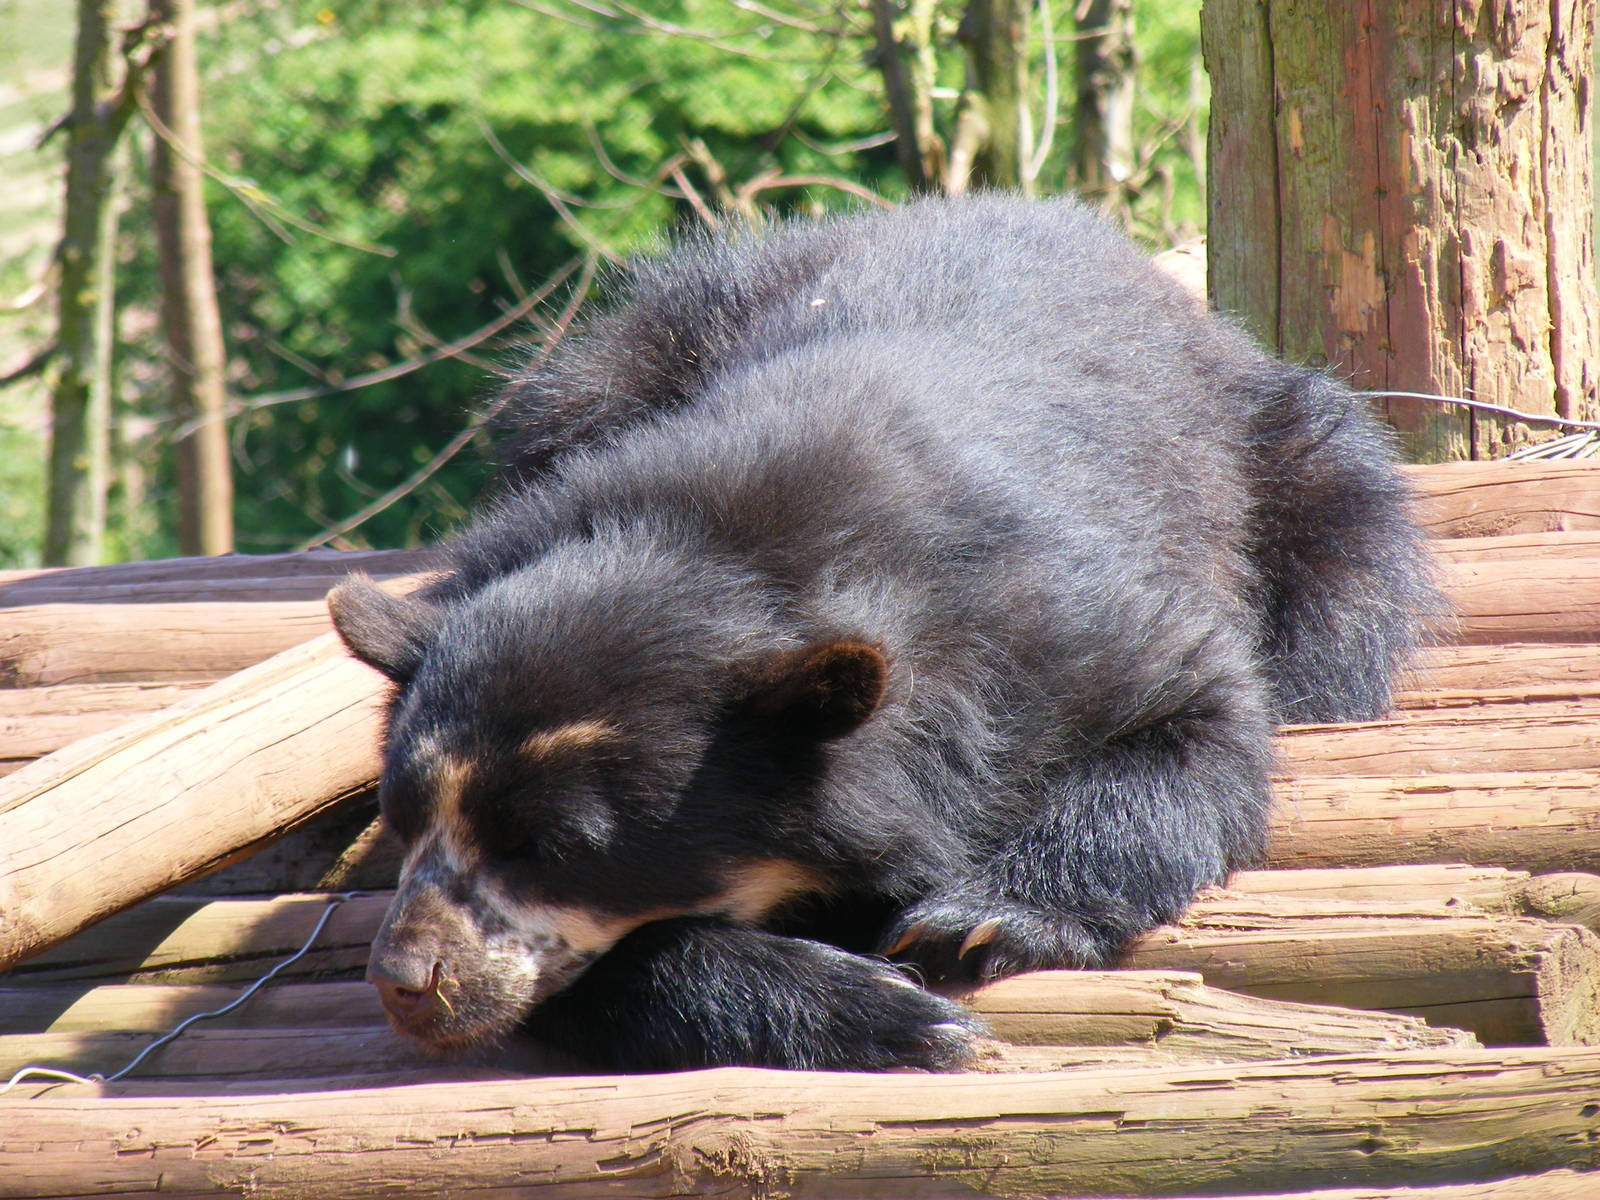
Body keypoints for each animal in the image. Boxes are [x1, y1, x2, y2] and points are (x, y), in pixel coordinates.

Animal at [327, 194, 1440, 1073]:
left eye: (556, 846)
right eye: (403, 814)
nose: (407, 980)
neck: (713, 540)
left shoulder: (1050, 619)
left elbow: (1190, 714)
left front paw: (972, 920)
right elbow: (596, 977)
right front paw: (885, 1014)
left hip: (1289, 453)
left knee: (1340, 581)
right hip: (600, 372)